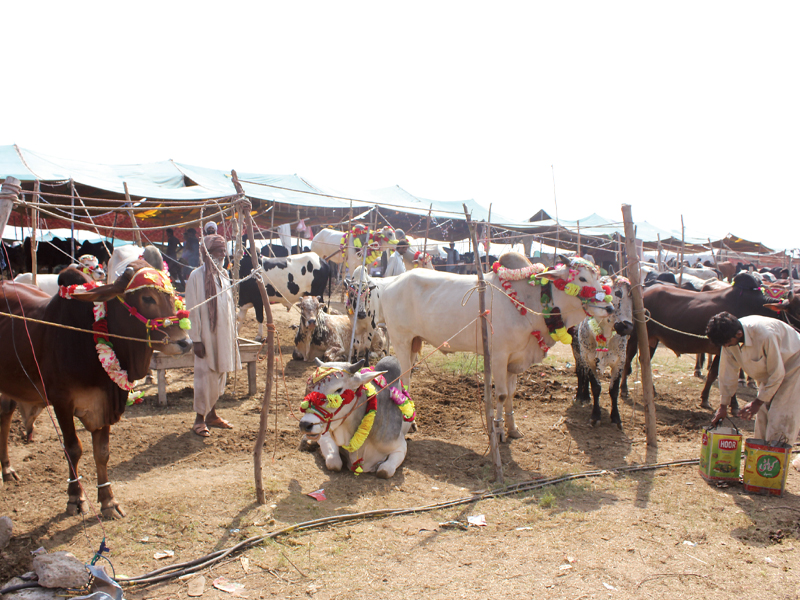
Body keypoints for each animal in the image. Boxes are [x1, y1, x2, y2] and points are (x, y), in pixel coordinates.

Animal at [0, 260, 192, 516]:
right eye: (147, 298)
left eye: (172, 296)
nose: (185, 342)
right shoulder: (61, 402)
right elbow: (73, 449)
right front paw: (75, 498)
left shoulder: (104, 403)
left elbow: (102, 452)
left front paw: (108, 501)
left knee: (5, 414)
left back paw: (7, 469)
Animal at [382, 253, 612, 440]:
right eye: (582, 278)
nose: (609, 307)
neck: (529, 301)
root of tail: (393, 281)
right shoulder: (499, 356)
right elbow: (500, 394)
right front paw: (499, 431)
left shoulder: (515, 360)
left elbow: (510, 394)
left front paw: (513, 428)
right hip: (401, 340)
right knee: (404, 380)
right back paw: (411, 423)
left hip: (415, 343)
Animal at [572, 276, 636, 426]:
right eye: (618, 292)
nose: (627, 327)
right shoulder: (588, 359)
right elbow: (596, 387)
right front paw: (595, 415)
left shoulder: (620, 362)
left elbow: (613, 390)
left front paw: (616, 417)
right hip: (577, 354)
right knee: (580, 373)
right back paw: (580, 396)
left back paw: (586, 396)